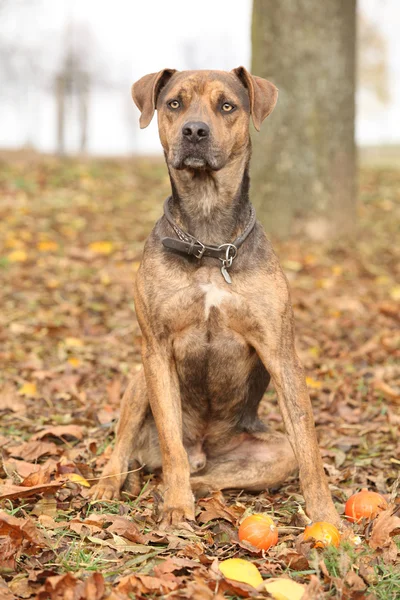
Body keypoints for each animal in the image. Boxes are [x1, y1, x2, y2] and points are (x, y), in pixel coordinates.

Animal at [91, 65, 340, 528]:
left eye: (227, 105)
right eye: (174, 103)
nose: (194, 130)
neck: (208, 239)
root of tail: (204, 452)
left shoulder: (280, 352)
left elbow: (309, 447)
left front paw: (326, 519)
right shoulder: (157, 349)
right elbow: (171, 442)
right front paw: (175, 506)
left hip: (269, 453)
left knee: (225, 473)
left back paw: (197, 489)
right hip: (139, 380)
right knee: (132, 446)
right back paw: (113, 485)